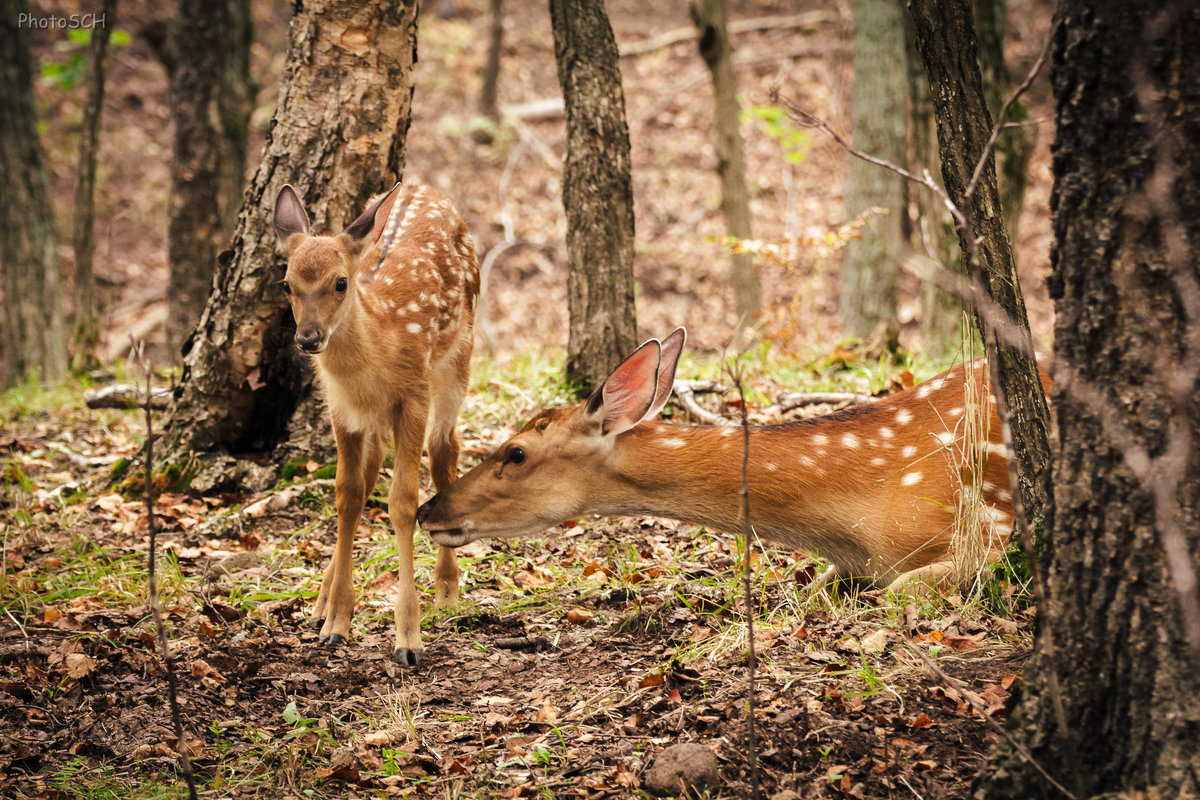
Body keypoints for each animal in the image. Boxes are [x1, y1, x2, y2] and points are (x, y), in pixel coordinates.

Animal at [273, 184, 477, 666]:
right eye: (286, 284)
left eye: (340, 282)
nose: (308, 338)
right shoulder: (341, 410)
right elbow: (347, 496)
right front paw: (334, 622)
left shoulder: (414, 396)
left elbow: (403, 503)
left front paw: (409, 638)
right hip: (377, 420)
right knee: (369, 475)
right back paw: (319, 604)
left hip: (458, 358)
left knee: (445, 452)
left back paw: (447, 588)